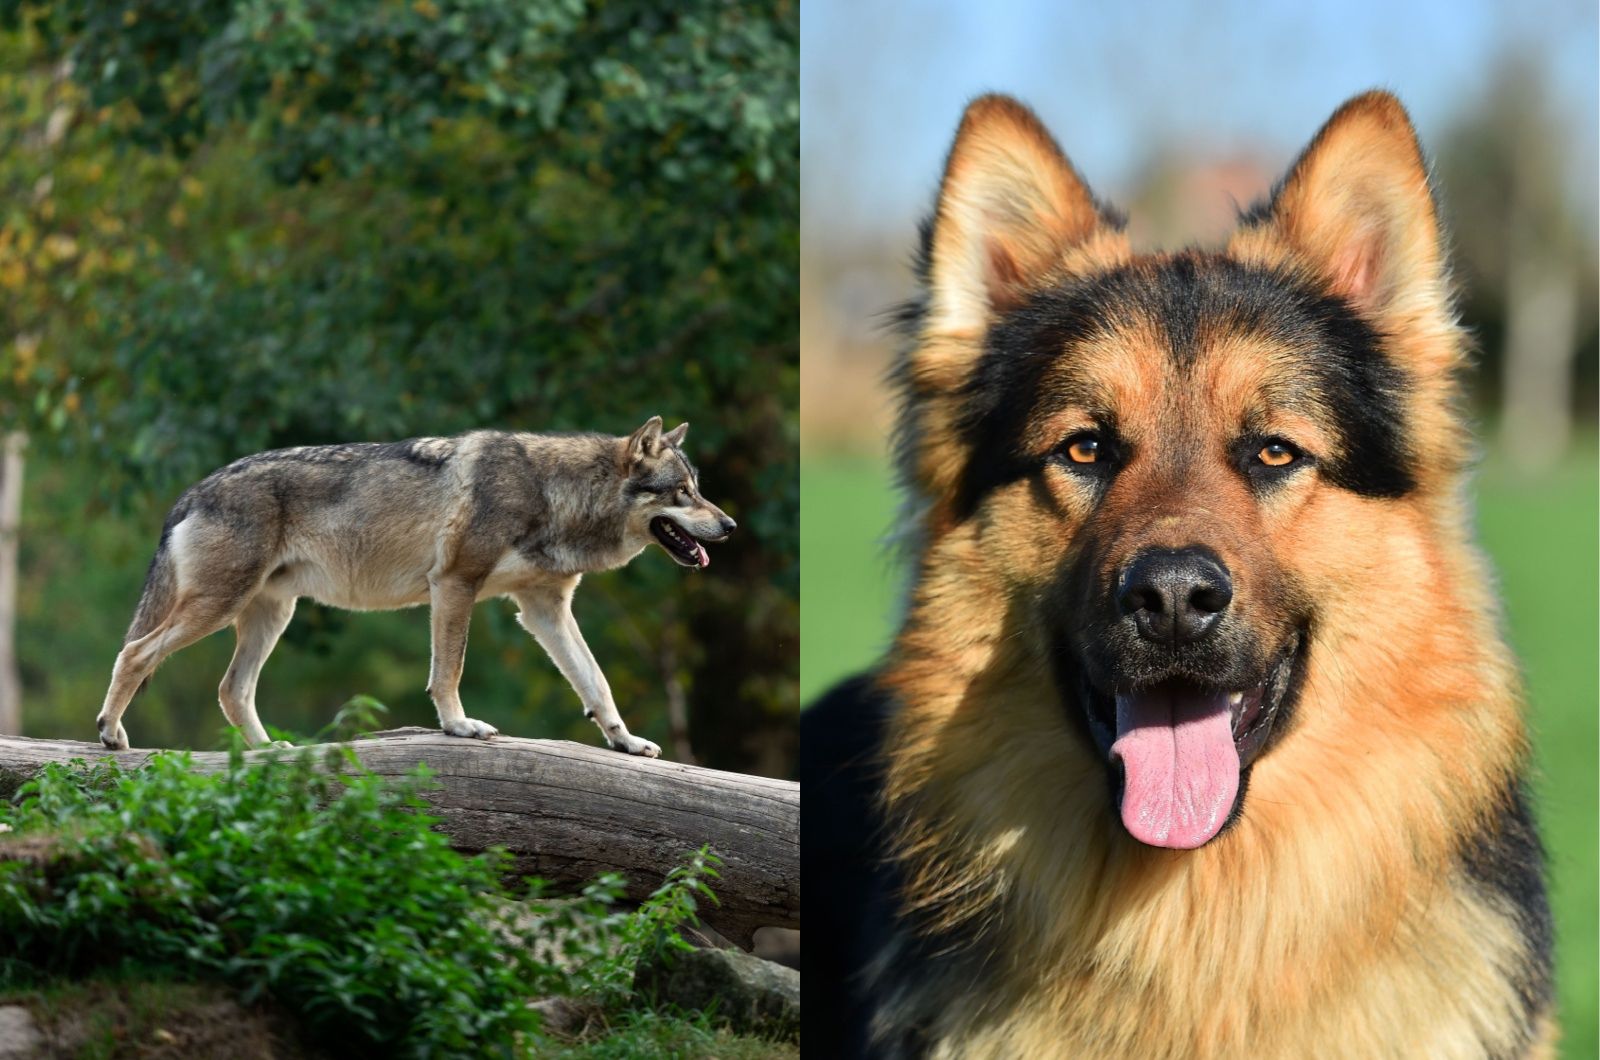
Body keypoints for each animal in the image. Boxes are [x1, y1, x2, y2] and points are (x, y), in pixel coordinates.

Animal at [93, 419, 732, 758]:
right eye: (682, 492)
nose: (728, 526)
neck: (557, 493)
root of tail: (192, 491)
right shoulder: (454, 585)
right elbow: (448, 671)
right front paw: (460, 727)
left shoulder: (544, 610)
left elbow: (597, 684)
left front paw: (628, 743)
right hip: (218, 608)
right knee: (133, 652)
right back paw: (112, 735)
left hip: (271, 616)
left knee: (231, 689)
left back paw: (271, 752)